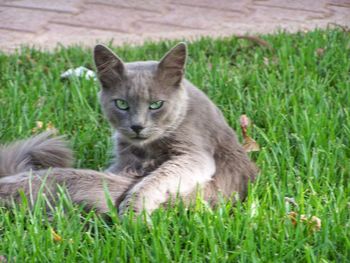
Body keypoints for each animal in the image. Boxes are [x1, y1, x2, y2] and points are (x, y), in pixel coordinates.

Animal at [0, 42, 258, 217]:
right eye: (122, 104)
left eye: (156, 105)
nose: (137, 126)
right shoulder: (124, 159)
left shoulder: (194, 154)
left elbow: (155, 180)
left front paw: (133, 214)